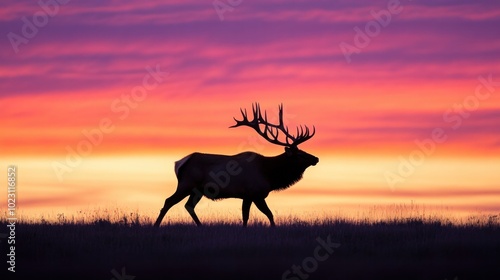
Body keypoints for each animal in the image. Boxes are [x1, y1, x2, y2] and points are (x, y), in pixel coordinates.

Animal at [152, 103, 318, 228]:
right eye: (300, 154)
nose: (316, 158)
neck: (270, 175)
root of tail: (179, 164)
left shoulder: (247, 196)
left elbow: (245, 216)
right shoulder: (255, 193)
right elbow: (268, 214)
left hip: (197, 190)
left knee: (189, 206)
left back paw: (200, 226)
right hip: (187, 183)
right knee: (169, 201)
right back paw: (156, 226)